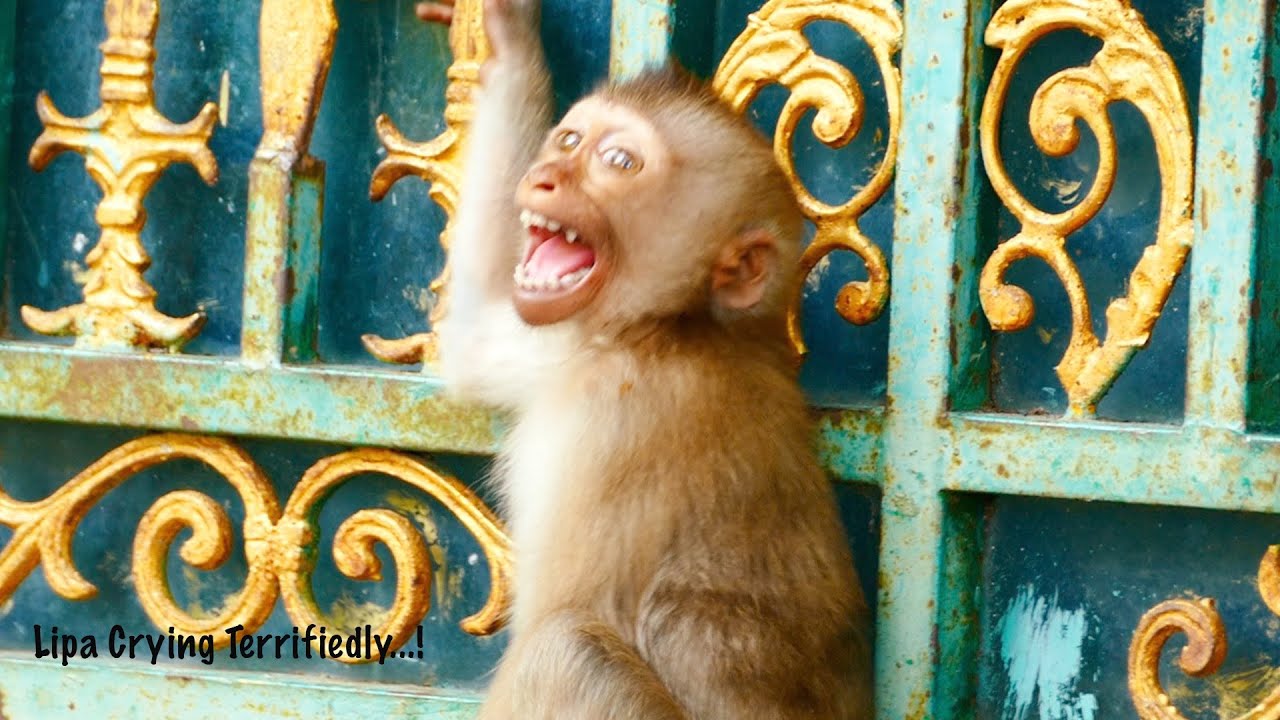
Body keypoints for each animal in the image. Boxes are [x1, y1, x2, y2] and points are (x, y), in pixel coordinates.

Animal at [418, 0, 872, 717]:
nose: (544, 177)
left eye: (619, 161)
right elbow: (472, 339)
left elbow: (550, 625)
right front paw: (510, 43)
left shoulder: (620, 419)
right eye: (569, 142)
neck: (669, 328)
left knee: (565, 649)